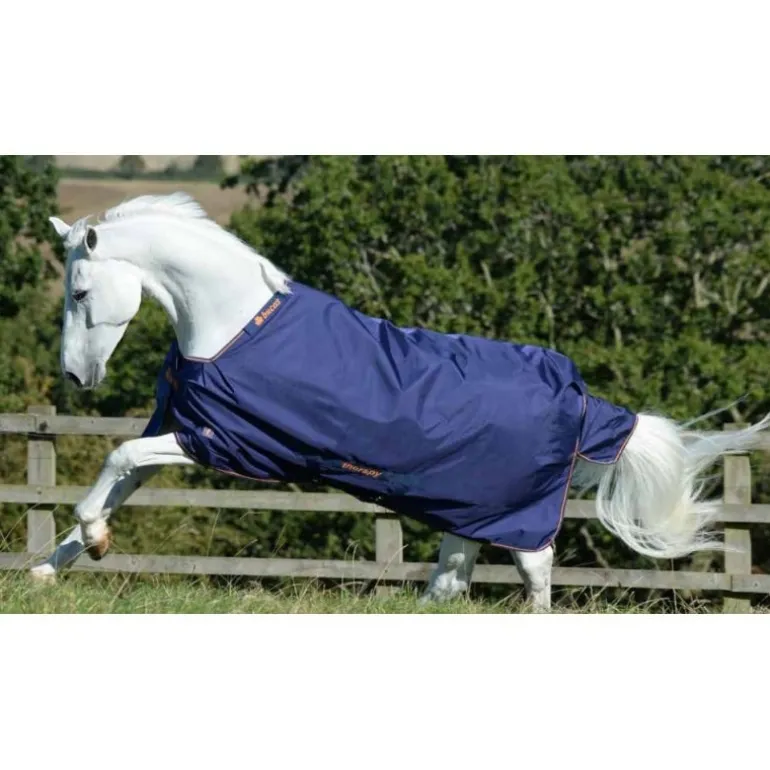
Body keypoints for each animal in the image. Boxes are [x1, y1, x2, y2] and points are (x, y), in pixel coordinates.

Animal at [30, 192, 770, 611]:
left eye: (80, 293)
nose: (74, 377)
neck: (233, 327)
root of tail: (583, 400)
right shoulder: (181, 432)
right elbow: (119, 478)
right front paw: (50, 567)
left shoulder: (219, 443)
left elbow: (118, 460)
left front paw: (90, 540)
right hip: (469, 508)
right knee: (451, 581)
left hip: (517, 519)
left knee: (535, 578)